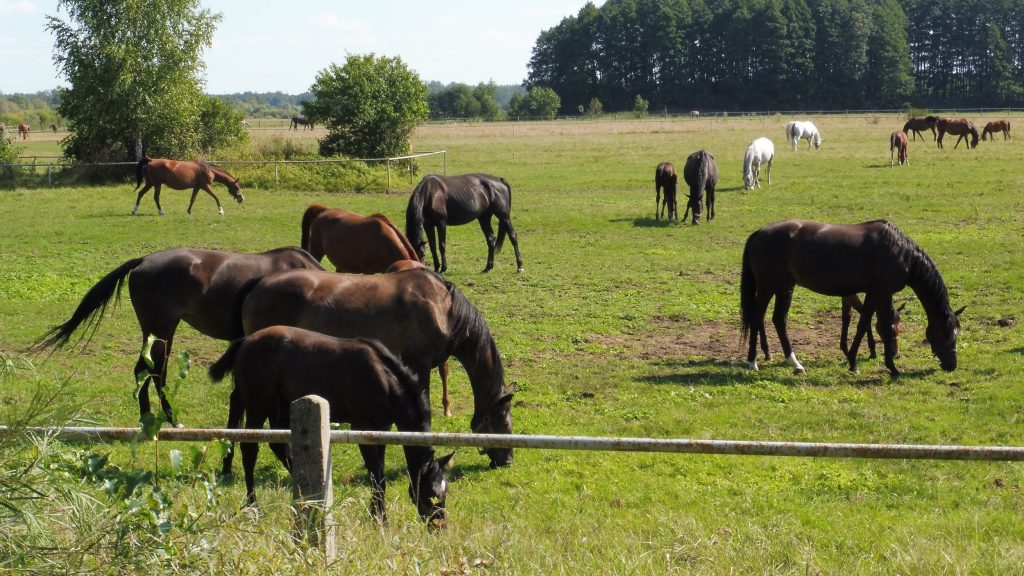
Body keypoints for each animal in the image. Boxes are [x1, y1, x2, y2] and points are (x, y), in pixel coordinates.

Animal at [207, 323, 452, 520]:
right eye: (431, 494)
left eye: (445, 491)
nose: (440, 524)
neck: (384, 380)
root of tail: (246, 341)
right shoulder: (362, 428)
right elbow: (377, 476)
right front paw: (380, 519)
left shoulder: (380, 430)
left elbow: (378, 475)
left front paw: (376, 515)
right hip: (258, 406)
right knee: (250, 450)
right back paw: (255, 505)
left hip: (282, 408)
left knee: (280, 447)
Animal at [741, 217, 962, 375]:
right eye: (945, 334)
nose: (951, 365)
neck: (900, 252)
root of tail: (759, 233)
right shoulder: (883, 293)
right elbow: (883, 326)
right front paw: (892, 368)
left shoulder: (872, 293)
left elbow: (863, 324)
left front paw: (853, 362)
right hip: (768, 286)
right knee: (756, 316)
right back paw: (753, 361)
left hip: (785, 286)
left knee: (779, 319)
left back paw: (794, 363)